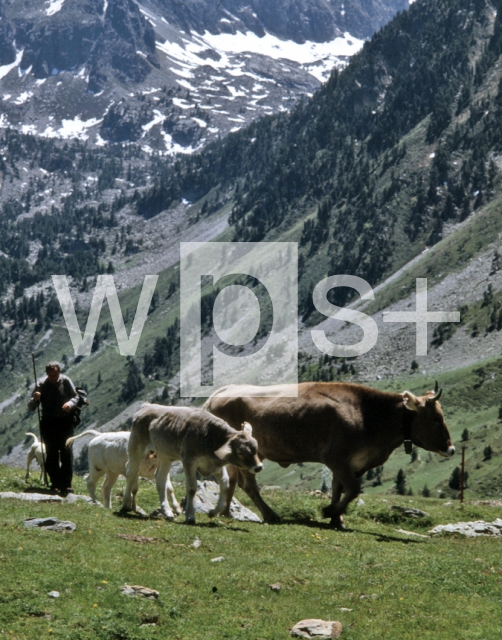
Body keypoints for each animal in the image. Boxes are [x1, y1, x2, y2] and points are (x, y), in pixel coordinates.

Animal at [204, 382, 454, 528]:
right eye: (435, 418)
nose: (451, 449)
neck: (368, 415)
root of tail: (219, 393)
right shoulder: (335, 457)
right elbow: (353, 489)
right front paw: (329, 511)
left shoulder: (347, 462)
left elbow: (338, 488)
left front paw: (337, 518)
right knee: (248, 484)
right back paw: (270, 514)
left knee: (232, 480)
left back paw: (226, 513)